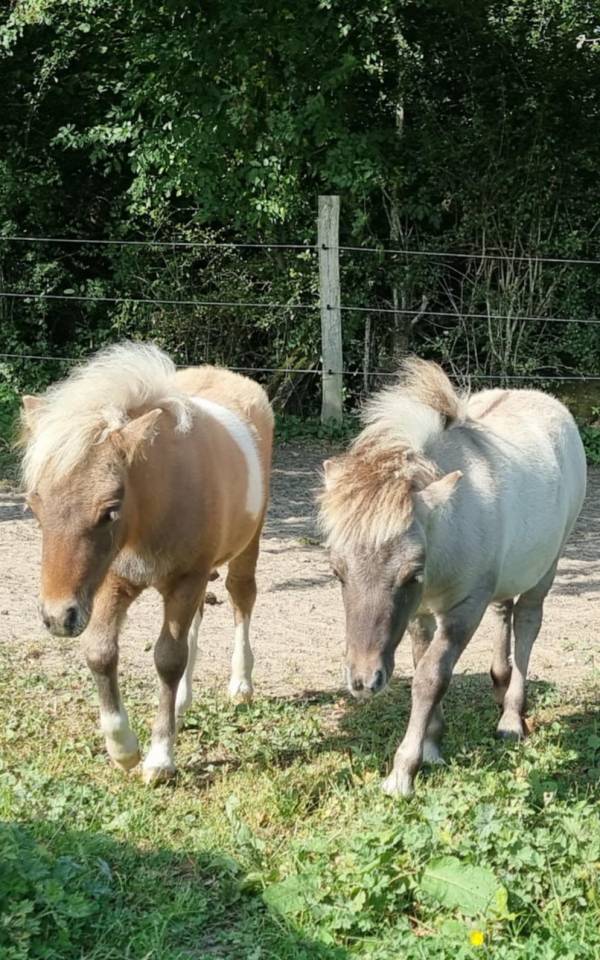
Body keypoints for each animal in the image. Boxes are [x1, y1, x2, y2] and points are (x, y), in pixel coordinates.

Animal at [20, 342, 273, 783]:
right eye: (34, 504)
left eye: (110, 510)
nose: (57, 617)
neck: (156, 503)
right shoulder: (114, 581)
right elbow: (100, 651)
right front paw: (123, 749)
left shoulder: (185, 579)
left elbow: (168, 658)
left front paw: (159, 759)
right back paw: (185, 701)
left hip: (245, 546)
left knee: (241, 597)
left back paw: (241, 684)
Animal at [318, 358, 586, 797]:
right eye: (337, 571)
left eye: (412, 573)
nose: (363, 680)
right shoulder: (421, 614)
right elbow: (422, 665)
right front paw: (431, 746)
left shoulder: (463, 610)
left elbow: (430, 678)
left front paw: (403, 771)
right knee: (504, 610)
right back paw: (499, 683)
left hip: (547, 565)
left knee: (527, 622)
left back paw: (511, 717)